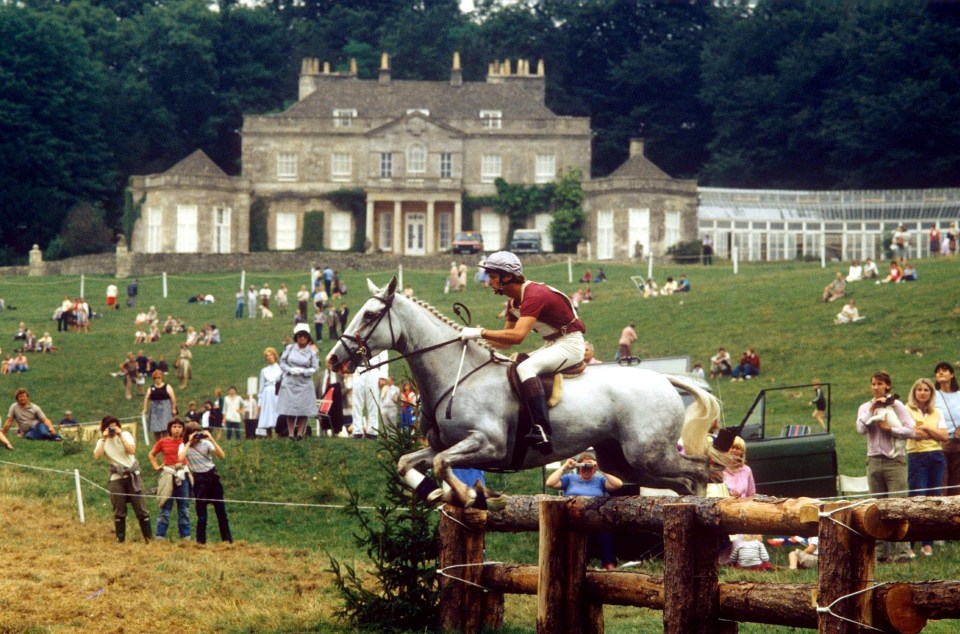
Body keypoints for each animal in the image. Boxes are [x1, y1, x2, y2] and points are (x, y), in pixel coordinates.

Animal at [326, 276, 724, 504]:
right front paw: (436, 492)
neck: (459, 374)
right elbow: (408, 462)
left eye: (369, 315)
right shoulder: (442, 445)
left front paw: (471, 496)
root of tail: (663, 379)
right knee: (681, 480)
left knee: (699, 471)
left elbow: (442, 465)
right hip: (623, 460)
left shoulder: (488, 444)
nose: (333, 359)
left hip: (648, 452)